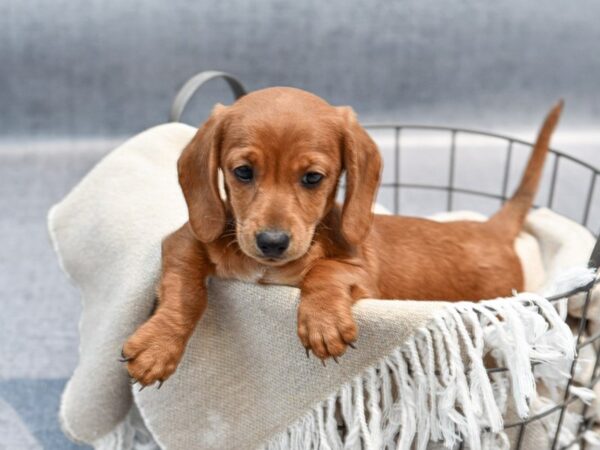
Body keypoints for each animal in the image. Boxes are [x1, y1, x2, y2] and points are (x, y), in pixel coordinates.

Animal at [122, 89, 564, 386]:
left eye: (313, 178)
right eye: (243, 172)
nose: (272, 242)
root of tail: (490, 226)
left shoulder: (363, 275)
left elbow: (327, 270)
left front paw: (322, 323)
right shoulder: (183, 241)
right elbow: (185, 288)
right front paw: (159, 345)